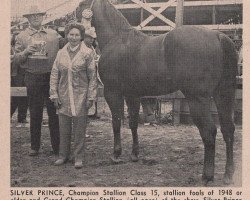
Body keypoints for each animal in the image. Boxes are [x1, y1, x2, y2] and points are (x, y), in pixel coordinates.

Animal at [77, 0, 237, 184]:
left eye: (81, 5)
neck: (117, 39)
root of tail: (218, 36)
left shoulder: (113, 92)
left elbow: (116, 122)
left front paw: (116, 155)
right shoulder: (132, 95)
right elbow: (133, 123)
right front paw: (134, 154)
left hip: (198, 99)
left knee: (209, 131)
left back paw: (207, 176)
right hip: (223, 95)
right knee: (228, 129)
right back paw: (228, 174)